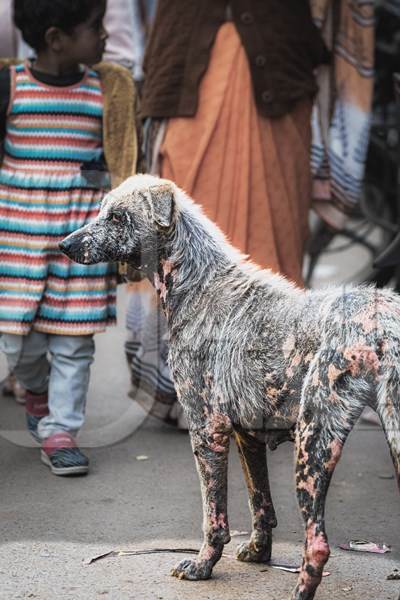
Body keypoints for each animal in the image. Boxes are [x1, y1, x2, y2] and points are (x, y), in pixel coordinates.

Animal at [59, 175, 400, 600]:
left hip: (313, 445)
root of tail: (382, 321)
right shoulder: (247, 436)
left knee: (317, 544)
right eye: (103, 210)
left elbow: (214, 517)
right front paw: (258, 551)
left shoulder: (207, 433)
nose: (65, 245)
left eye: (118, 217)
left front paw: (202, 565)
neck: (200, 283)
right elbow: (261, 504)